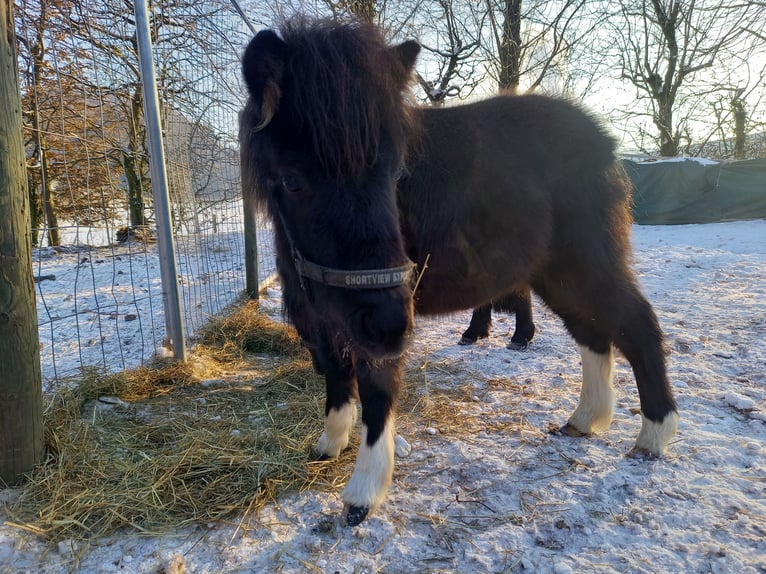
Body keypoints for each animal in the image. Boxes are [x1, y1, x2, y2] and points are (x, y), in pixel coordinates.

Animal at [239, 16, 679, 526]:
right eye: (291, 180)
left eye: (396, 173)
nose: (391, 322)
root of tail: (602, 142)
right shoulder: (324, 318)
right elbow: (336, 377)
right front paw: (330, 443)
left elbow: (376, 392)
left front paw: (363, 493)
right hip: (556, 276)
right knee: (593, 334)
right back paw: (585, 420)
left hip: (587, 263)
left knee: (635, 326)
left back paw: (652, 436)